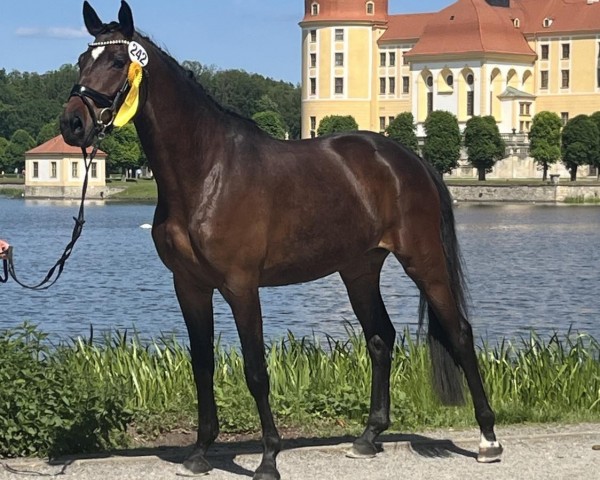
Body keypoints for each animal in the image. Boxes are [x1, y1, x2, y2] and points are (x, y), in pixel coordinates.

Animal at [61, 1, 502, 478]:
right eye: (82, 60)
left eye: (116, 61)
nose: (73, 123)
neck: (206, 172)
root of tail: (411, 161)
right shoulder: (189, 286)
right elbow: (202, 365)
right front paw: (199, 452)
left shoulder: (241, 286)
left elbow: (256, 371)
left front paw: (268, 458)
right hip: (359, 269)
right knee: (381, 338)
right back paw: (368, 437)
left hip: (423, 260)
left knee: (459, 333)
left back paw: (488, 439)